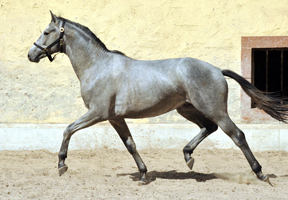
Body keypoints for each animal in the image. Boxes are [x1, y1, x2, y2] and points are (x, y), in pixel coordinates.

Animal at [27, 11, 288, 185]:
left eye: (47, 32)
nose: (31, 54)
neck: (97, 66)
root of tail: (216, 69)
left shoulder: (97, 113)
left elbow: (68, 129)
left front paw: (61, 164)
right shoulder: (114, 118)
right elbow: (130, 144)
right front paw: (143, 174)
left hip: (214, 109)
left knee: (237, 135)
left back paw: (260, 173)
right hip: (187, 108)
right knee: (209, 128)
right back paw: (188, 156)